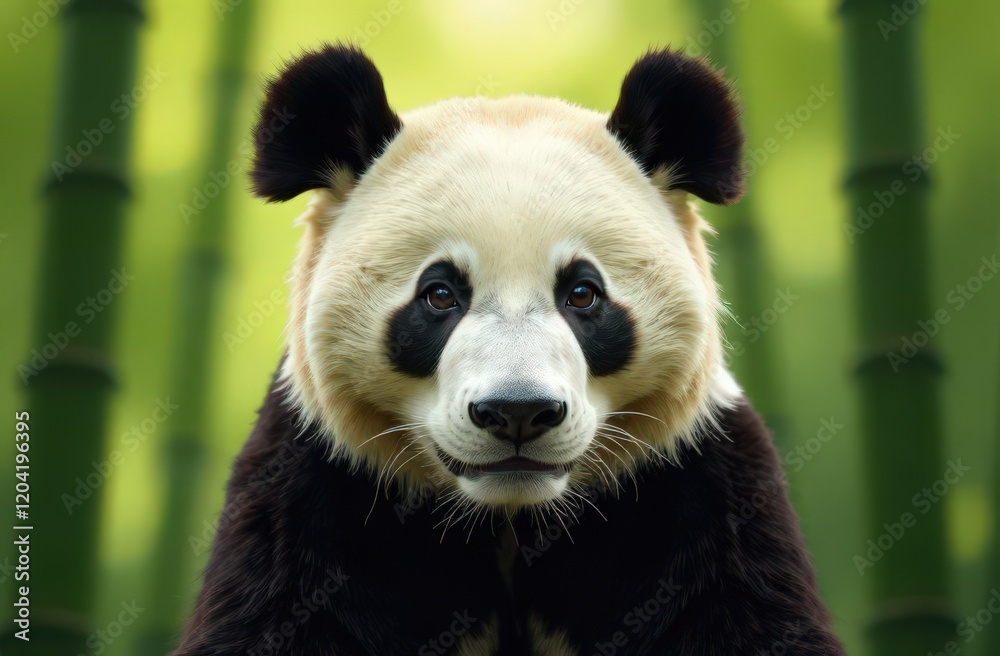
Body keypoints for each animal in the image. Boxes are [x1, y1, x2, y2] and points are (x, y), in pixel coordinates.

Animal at [174, 45, 845, 655]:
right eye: (440, 294)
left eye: (582, 293)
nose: (518, 411)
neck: (510, 517)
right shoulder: (315, 493)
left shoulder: (696, 488)